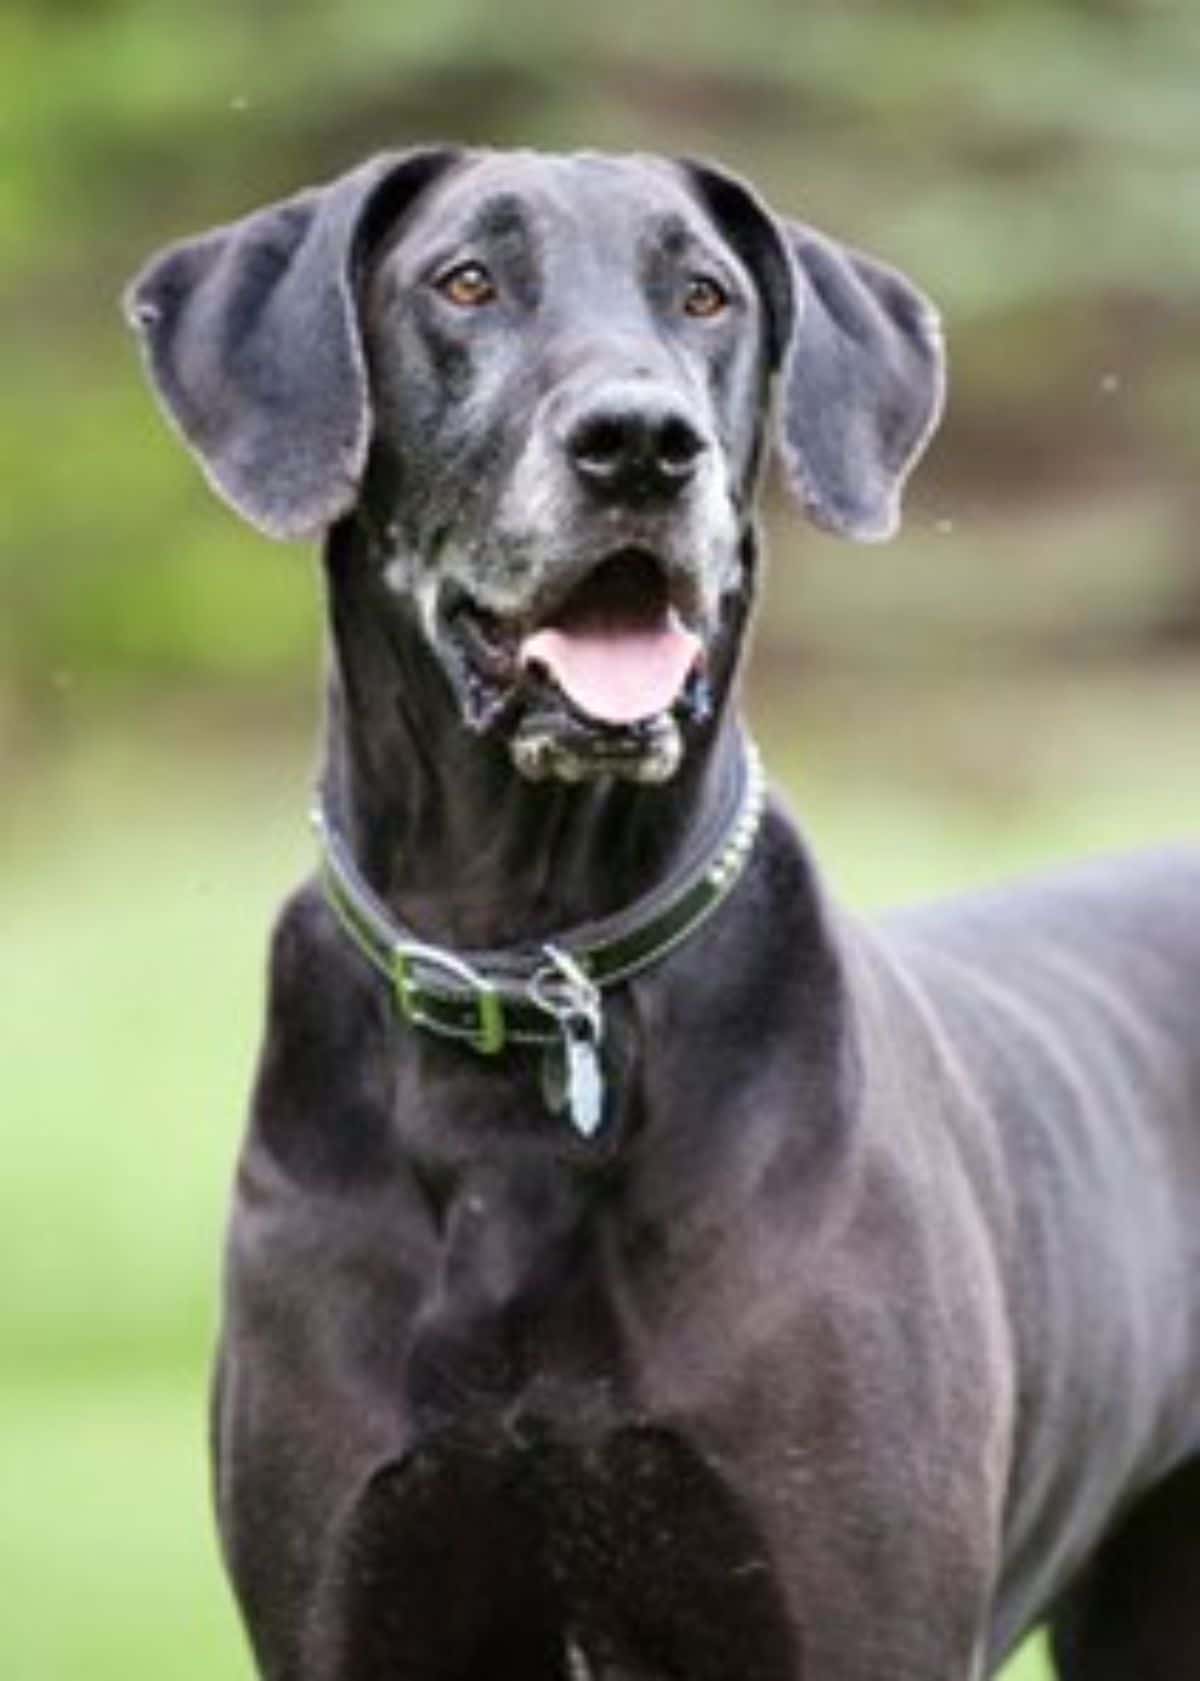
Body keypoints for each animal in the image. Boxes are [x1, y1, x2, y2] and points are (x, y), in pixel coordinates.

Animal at [128, 151, 1196, 1674]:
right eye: (465, 282)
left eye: (706, 296)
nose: (642, 443)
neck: (529, 955)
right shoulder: (347, 1598)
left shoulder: (849, 1613)